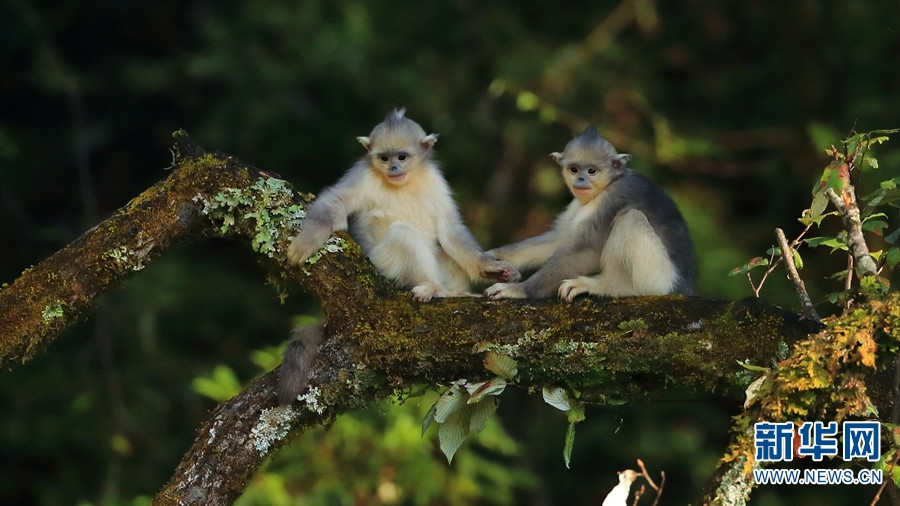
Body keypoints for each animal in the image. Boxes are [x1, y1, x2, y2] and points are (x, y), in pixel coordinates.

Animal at [486, 125, 696, 300]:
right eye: (574, 169)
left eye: (592, 171)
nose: (580, 180)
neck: (607, 186)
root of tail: (684, 287)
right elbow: (560, 239)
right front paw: (492, 258)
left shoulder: (614, 197)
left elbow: (586, 249)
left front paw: (519, 290)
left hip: (658, 280)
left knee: (631, 217)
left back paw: (611, 286)